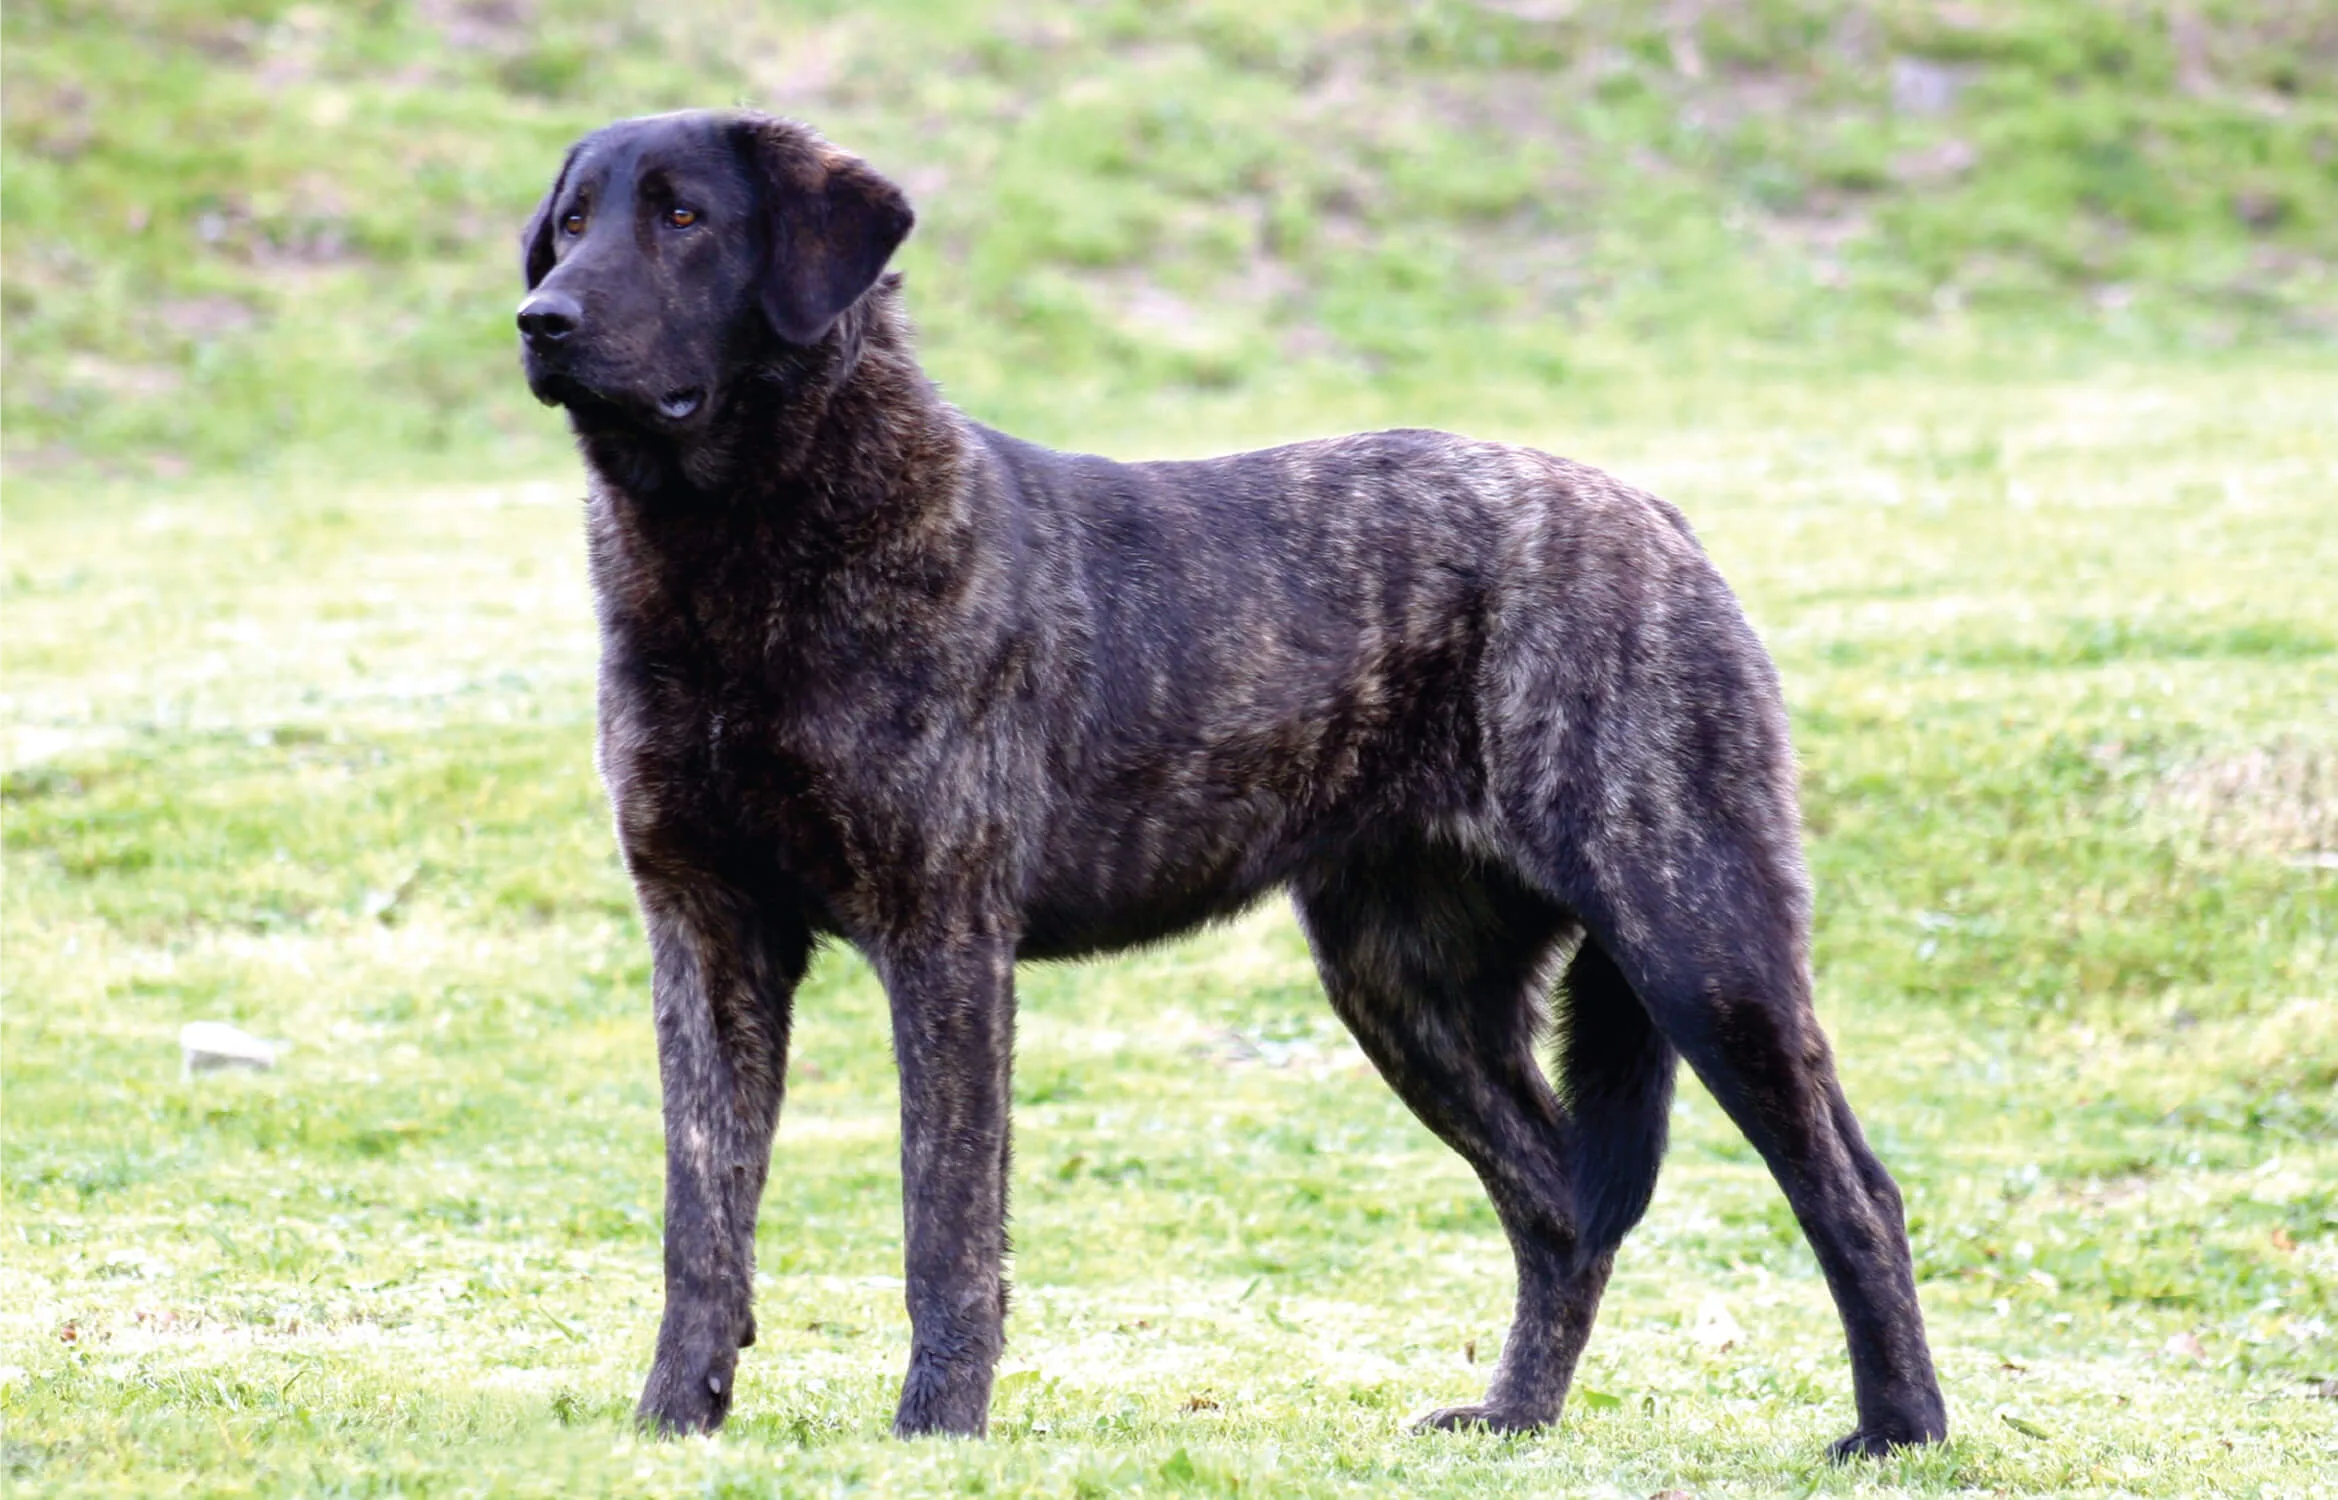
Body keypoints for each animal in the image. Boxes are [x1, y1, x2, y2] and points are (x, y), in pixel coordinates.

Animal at [516, 102, 1954, 1448]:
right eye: (573, 223)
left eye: (686, 218)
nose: (542, 319)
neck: (743, 556)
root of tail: (1657, 516)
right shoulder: (706, 936)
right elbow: (702, 1220)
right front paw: (671, 1426)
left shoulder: (943, 943)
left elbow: (946, 1228)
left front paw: (936, 1434)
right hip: (1406, 989)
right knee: (1557, 1209)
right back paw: (1513, 1421)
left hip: (1698, 944)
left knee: (1853, 1192)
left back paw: (1898, 1429)